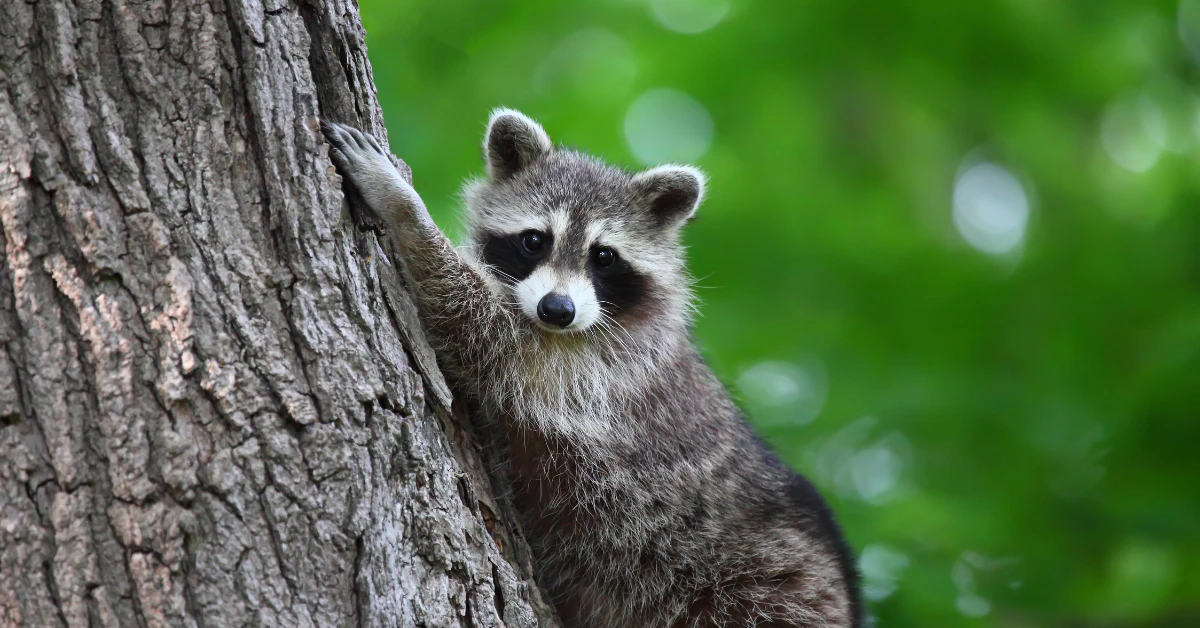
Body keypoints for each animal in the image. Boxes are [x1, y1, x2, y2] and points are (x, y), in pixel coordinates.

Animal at [321, 111, 863, 627]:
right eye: (534, 241)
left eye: (603, 257)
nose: (557, 310)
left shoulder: (597, 370)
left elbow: (480, 326)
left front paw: (403, 206)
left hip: (758, 595)